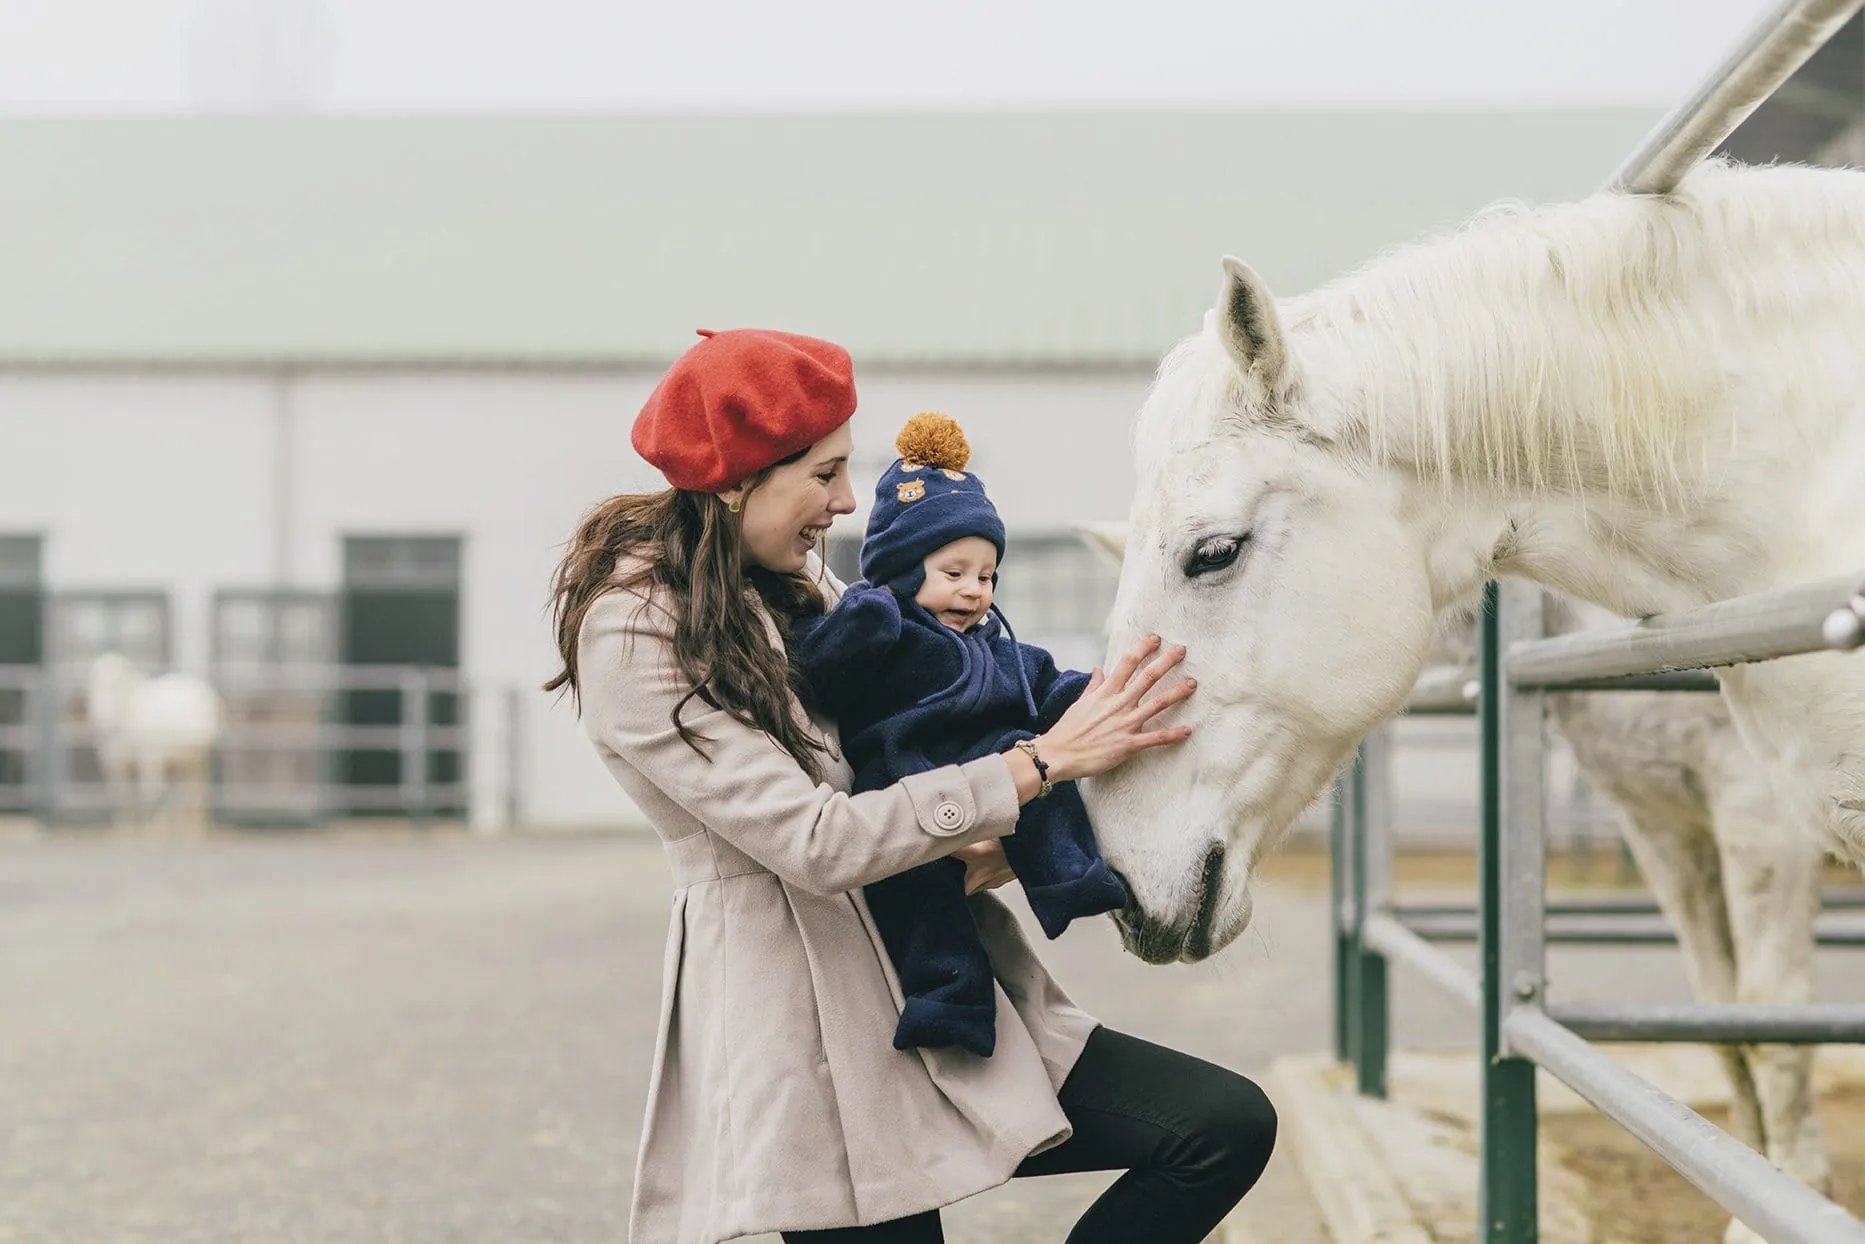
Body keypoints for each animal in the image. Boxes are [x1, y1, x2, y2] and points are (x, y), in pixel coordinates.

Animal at [85, 652, 224, 839]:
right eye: (91, 685)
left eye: (116, 686)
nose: (100, 717)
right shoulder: (114, 764)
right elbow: (121, 796)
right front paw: (124, 834)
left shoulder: (149, 759)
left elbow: (149, 795)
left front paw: (151, 833)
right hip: (180, 760)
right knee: (182, 790)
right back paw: (180, 826)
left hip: (199, 756)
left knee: (195, 788)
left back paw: (193, 830)